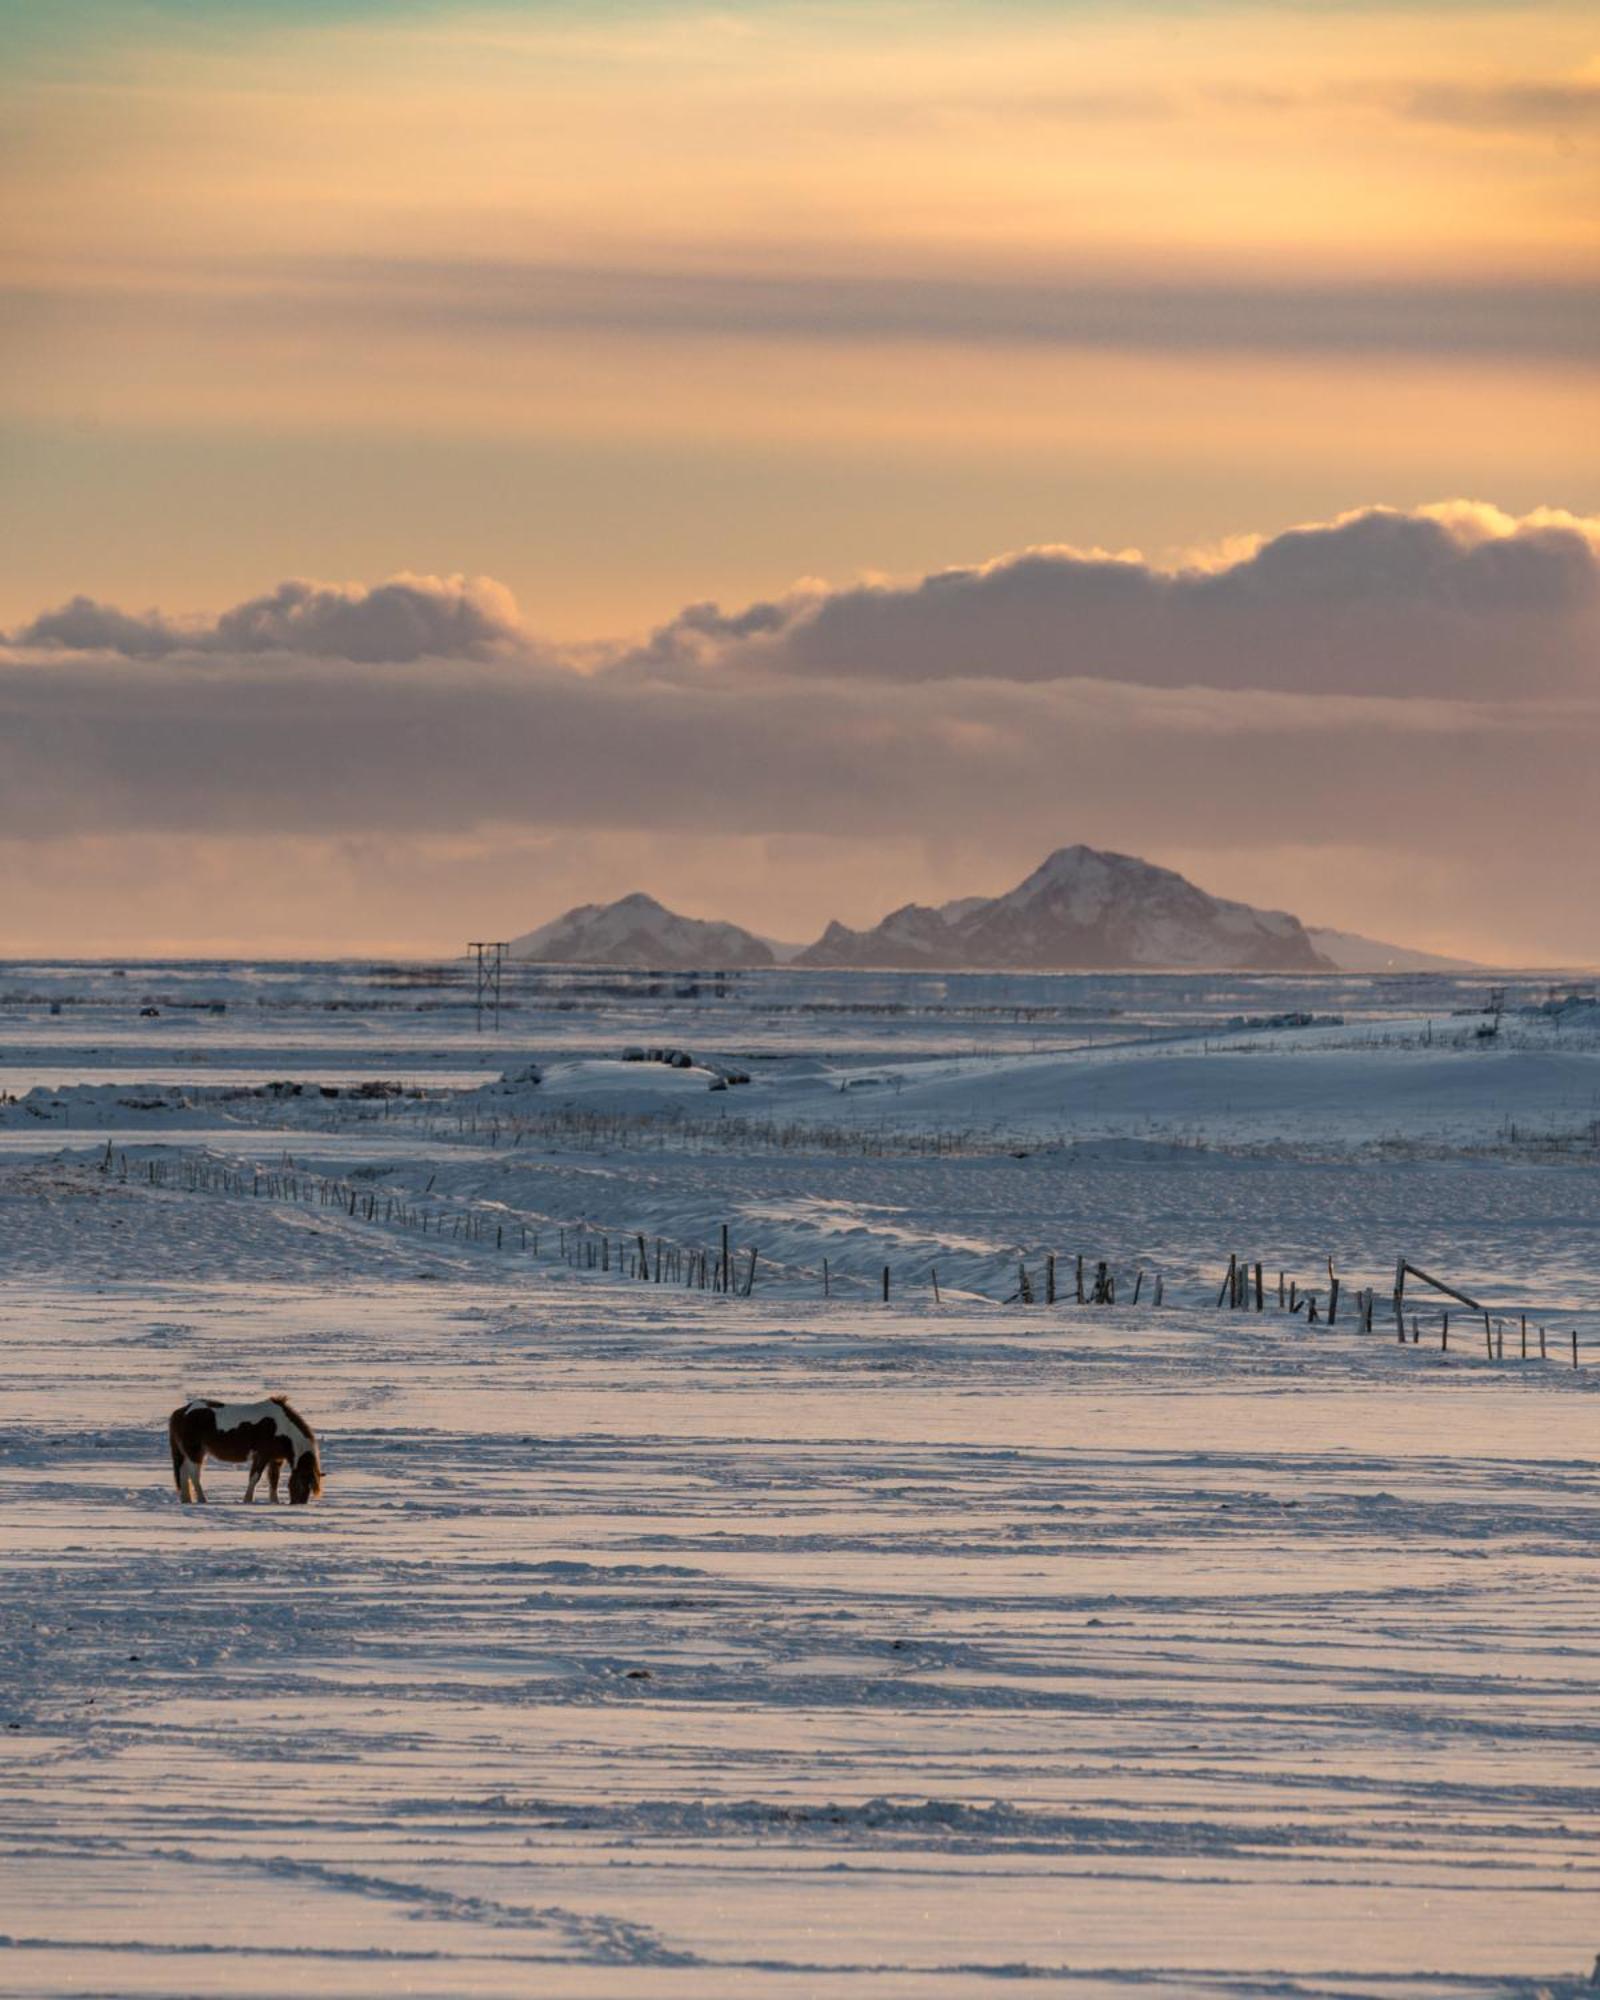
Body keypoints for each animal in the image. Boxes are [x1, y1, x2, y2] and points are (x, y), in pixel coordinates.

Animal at [169, 1400, 322, 1504]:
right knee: (194, 1475)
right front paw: (247, 1500)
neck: (280, 1427)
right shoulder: (261, 1455)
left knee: (183, 1473)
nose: (298, 1503)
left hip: (189, 1453)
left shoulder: (276, 1459)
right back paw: (202, 1499)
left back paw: (187, 1500)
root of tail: (182, 1411)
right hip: (194, 1452)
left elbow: (274, 1479)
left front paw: (274, 1501)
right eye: (302, 1482)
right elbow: (255, 1477)